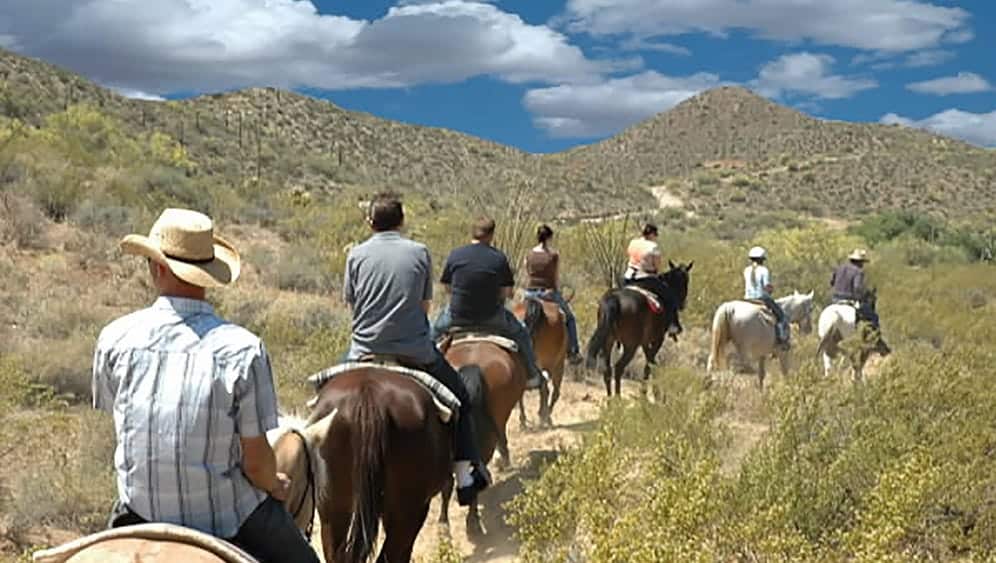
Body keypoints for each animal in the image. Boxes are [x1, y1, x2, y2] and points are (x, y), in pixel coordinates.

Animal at [512, 296, 568, 428]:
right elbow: (553, 392)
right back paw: (544, 418)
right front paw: (545, 416)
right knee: (548, 389)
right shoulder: (558, 364)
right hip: (551, 363)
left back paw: (523, 421)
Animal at [584, 262, 692, 396]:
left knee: (607, 370)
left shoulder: (644, 342)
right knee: (618, 368)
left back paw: (610, 399)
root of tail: (614, 300)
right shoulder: (657, 340)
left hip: (608, 342)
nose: (682, 304)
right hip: (630, 346)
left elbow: (651, 362)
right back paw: (618, 397)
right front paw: (645, 393)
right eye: (685, 280)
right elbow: (649, 364)